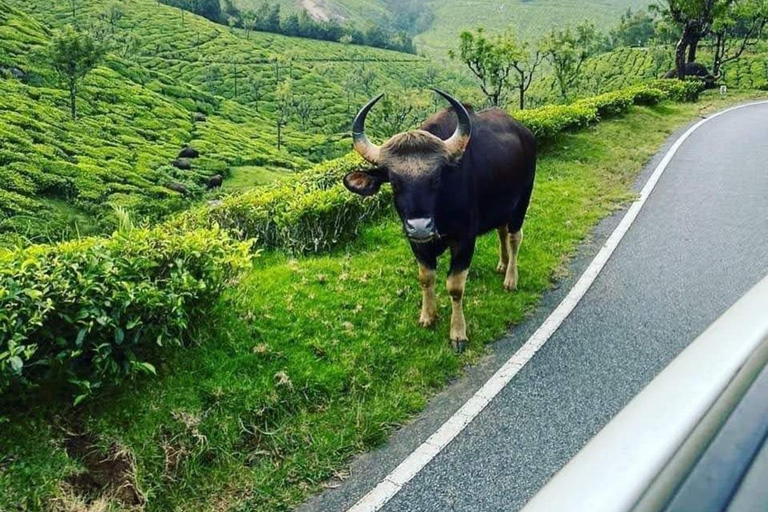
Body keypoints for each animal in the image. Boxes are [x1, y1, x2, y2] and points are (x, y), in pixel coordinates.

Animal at [342, 89, 536, 352]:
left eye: (436, 179)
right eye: (395, 182)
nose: (420, 226)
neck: (440, 212)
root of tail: (525, 133)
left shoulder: (465, 240)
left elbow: (455, 286)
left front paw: (458, 333)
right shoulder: (417, 243)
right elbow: (426, 278)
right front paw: (428, 316)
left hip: (522, 201)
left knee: (515, 236)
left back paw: (511, 278)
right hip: (500, 207)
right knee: (501, 231)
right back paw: (503, 264)